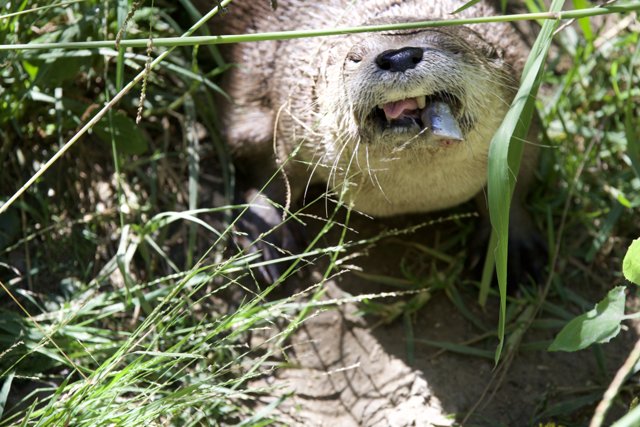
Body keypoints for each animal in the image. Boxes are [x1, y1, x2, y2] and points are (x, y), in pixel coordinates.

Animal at [216, 1, 544, 286]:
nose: (398, 56)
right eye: (354, 57)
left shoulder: (522, 126)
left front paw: (509, 246)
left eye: (451, 44)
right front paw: (266, 238)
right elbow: (267, 168)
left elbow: (515, 181)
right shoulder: (278, 115)